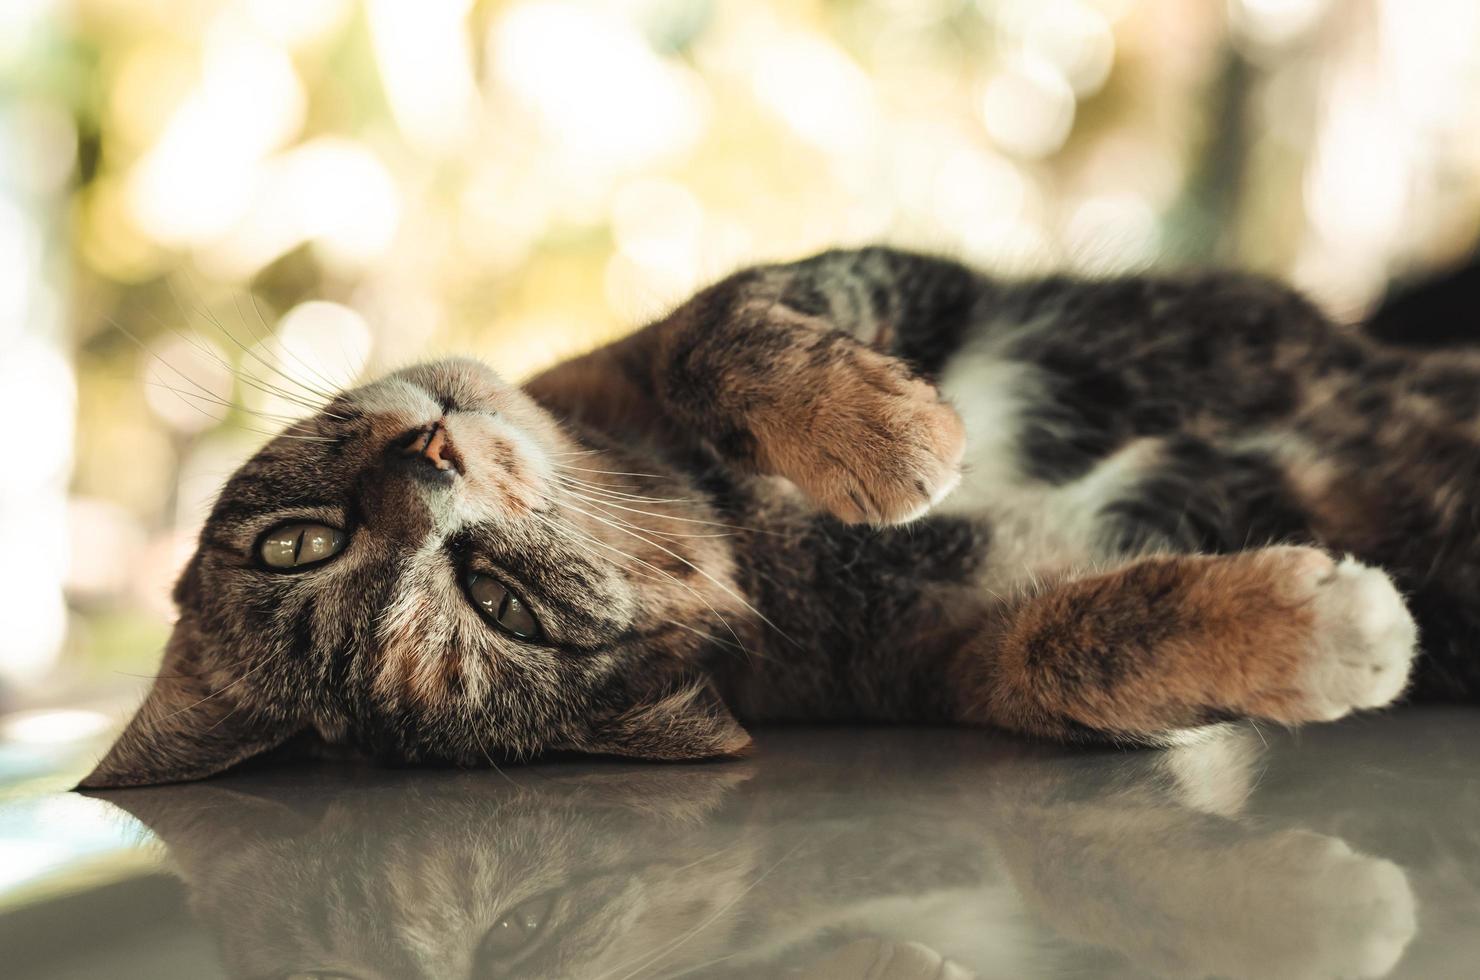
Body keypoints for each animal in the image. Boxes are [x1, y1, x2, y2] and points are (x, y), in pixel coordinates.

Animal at [83, 247, 1480, 793]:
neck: (736, 532)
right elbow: (1071, 651)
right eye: (505, 607)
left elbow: (715, 329)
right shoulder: (950, 659)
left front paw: (888, 437)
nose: (424, 458)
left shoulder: (865, 284)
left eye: (294, 538)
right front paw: (1329, 630)